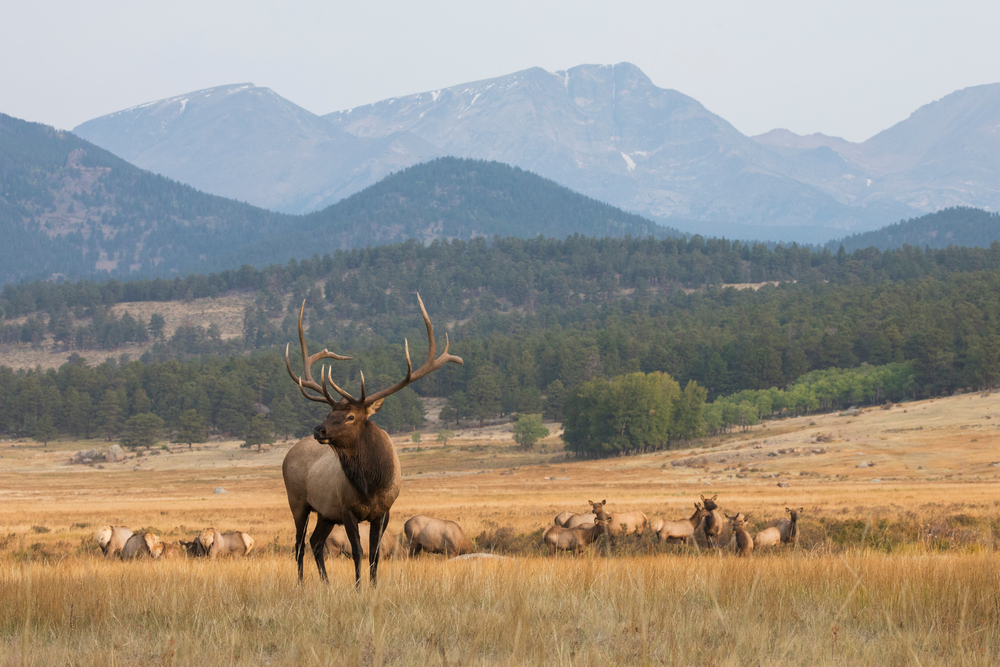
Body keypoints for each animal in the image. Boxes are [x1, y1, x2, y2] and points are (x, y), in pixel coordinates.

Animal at [283, 296, 462, 587]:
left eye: (350, 416)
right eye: (329, 413)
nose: (318, 430)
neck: (371, 484)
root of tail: (288, 454)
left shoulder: (383, 511)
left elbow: (375, 553)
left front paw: (374, 586)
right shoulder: (347, 509)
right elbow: (358, 552)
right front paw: (358, 588)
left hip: (325, 513)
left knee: (315, 542)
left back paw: (326, 583)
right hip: (298, 501)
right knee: (299, 545)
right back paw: (300, 584)